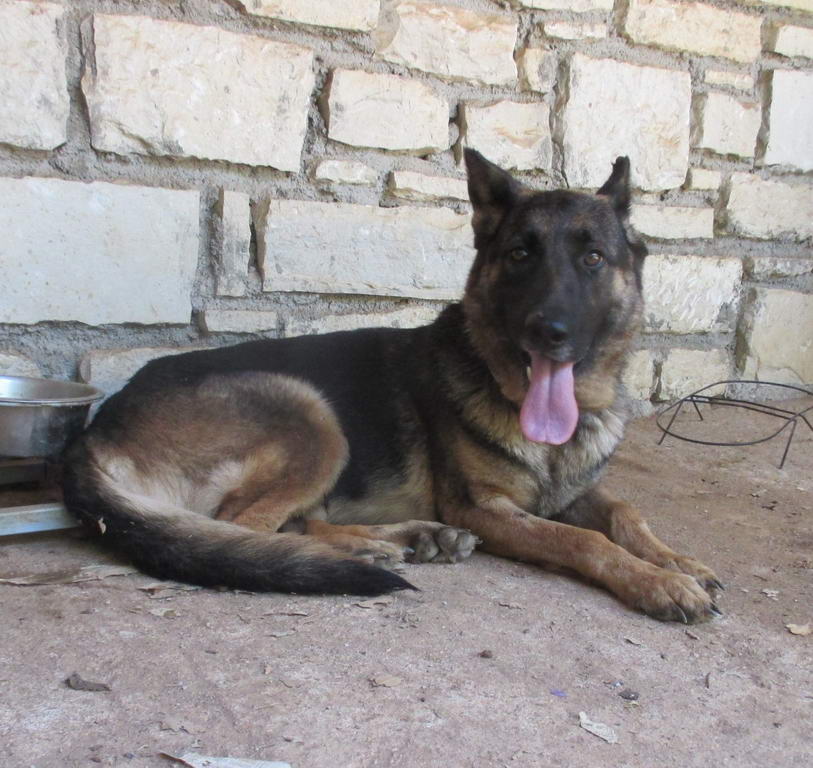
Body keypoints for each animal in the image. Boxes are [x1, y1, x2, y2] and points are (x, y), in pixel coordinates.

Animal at [62, 150, 723, 623]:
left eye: (592, 258)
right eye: (519, 254)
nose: (547, 331)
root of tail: (95, 430)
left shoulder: (572, 492)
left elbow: (626, 513)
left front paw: (678, 560)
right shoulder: (488, 510)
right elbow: (582, 540)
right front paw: (659, 582)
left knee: (286, 524)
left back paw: (410, 538)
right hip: (310, 413)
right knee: (243, 529)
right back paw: (363, 551)